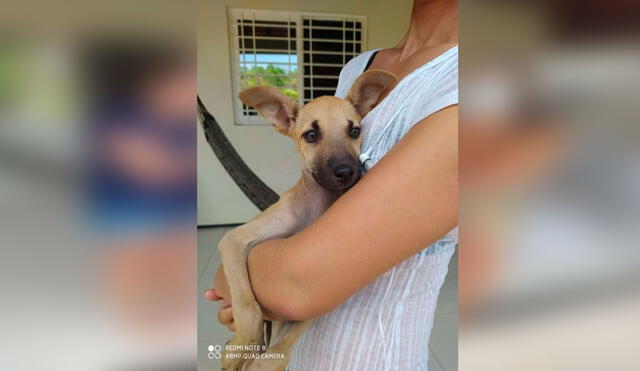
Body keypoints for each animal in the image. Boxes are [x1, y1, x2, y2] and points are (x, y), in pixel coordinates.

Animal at [218, 70, 396, 371]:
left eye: (354, 131)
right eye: (311, 135)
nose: (346, 172)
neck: (315, 203)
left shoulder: (316, 290)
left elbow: (288, 339)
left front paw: (266, 362)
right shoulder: (234, 240)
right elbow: (246, 304)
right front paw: (241, 346)